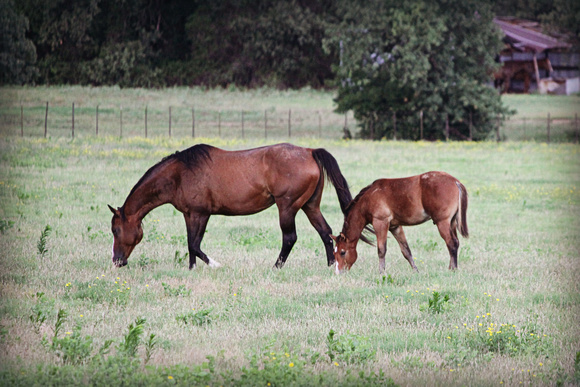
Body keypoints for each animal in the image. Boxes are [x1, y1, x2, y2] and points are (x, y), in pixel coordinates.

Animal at [109, 142, 354, 270]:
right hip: (310, 206)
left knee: (290, 238)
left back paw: (276, 267)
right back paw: (331, 265)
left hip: (287, 207)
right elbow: (190, 244)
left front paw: (215, 264)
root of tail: (309, 151)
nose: (117, 261)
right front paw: (191, 269)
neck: (180, 174)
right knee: (325, 232)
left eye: (116, 230)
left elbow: (195, 245)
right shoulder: (189, 215)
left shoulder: (201, 214)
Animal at [330, 171, 466, 274]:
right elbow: (406, 251)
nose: (338, 272)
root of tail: (455, 181)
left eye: (342, 252)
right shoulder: (395, 227)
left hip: (442, 222)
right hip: (451, 223)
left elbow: (381, 250)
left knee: (451, 243)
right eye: (334, 252)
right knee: (455, 242)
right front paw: (416, 271)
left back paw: (453, 270)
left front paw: (381, 272)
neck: (368, 199)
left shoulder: (381, 223)